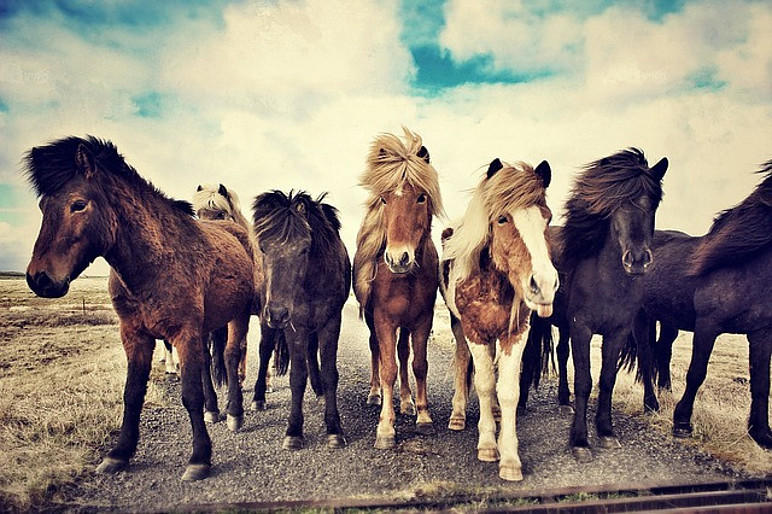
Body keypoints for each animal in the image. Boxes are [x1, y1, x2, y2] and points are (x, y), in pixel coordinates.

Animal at [23, 136, 253, 480]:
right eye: (42, 206)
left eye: (78, 204)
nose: (39, 278)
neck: (153, 263)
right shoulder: (135, 336)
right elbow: (132, 394)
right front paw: (120, 453)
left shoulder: (184, 333)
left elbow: (190, 394)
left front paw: (199, 457)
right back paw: (215, 410)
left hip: (238, 316)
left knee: (229, 355)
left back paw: (235, 413)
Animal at [252, 188, 352, 448]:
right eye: (264, 248)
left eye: (305, 248)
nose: (278, 313)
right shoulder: (294, 325)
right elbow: (297, 377)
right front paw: (293, 431)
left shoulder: (331, 322)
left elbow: (329, 373)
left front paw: (334, 428)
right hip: (268, 322)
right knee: (265, 351)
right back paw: (258, 397)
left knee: (310, 352)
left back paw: (319, 391)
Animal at [352, 126, 444, 446]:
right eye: (384, 199)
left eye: (421, 197)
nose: (398, 258)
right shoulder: (383, 319)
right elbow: (388, 367)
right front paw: (385, 427)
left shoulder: (423, 319)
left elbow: (418, 364)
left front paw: (424, 416)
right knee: (377, 351)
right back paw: (375, 393)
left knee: (403, 353)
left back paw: (405, 401)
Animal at [438, 157, 556, 480]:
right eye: (502, 219)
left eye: (547, 218)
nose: (544, 284)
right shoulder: (474, 331)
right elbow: (484, 384)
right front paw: (489, 444)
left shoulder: (515, 333)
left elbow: (507, 391)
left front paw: (510, 457)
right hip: (458, 327)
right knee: (463, 364)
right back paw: (458, 415)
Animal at [632, 162, 772, 446]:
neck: (744, 266)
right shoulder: (708, 325)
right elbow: (697, 372)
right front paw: (682, 422)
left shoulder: (761, 333)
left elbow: (762, 382)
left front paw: (761, 434)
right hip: (641, 316)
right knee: (646, 353)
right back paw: (651, 404)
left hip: (669, 319)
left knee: (662, 350)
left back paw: (666, 392)